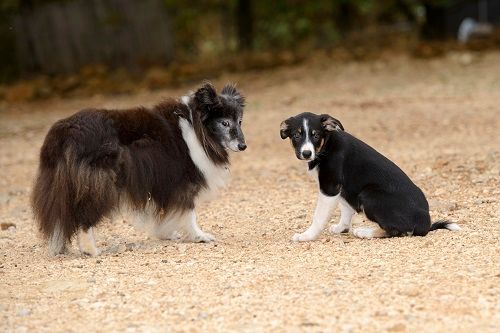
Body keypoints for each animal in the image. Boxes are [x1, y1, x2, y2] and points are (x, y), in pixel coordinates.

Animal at [30, 82, 245, 254]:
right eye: (225, 123)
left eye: (240, 121)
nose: (243, 146)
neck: (195, 126)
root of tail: (64, 131)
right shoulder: (185, 181)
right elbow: (189, 213)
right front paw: (199, 236)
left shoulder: (164, 184)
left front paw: (166, 233)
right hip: (100, 185)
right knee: (85, 216)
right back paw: (91, 250)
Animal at [280, 112, 458, 241]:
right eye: (296, 136)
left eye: (316, 135)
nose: (306, 153)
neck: (327, 144)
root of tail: (425, 223)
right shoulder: (341, 189)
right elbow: (346, 208)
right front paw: (342, 228)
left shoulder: (329, 187)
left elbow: (318, 217)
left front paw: (307, 236)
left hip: (368, 194)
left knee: (398, 231)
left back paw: (365, 232)